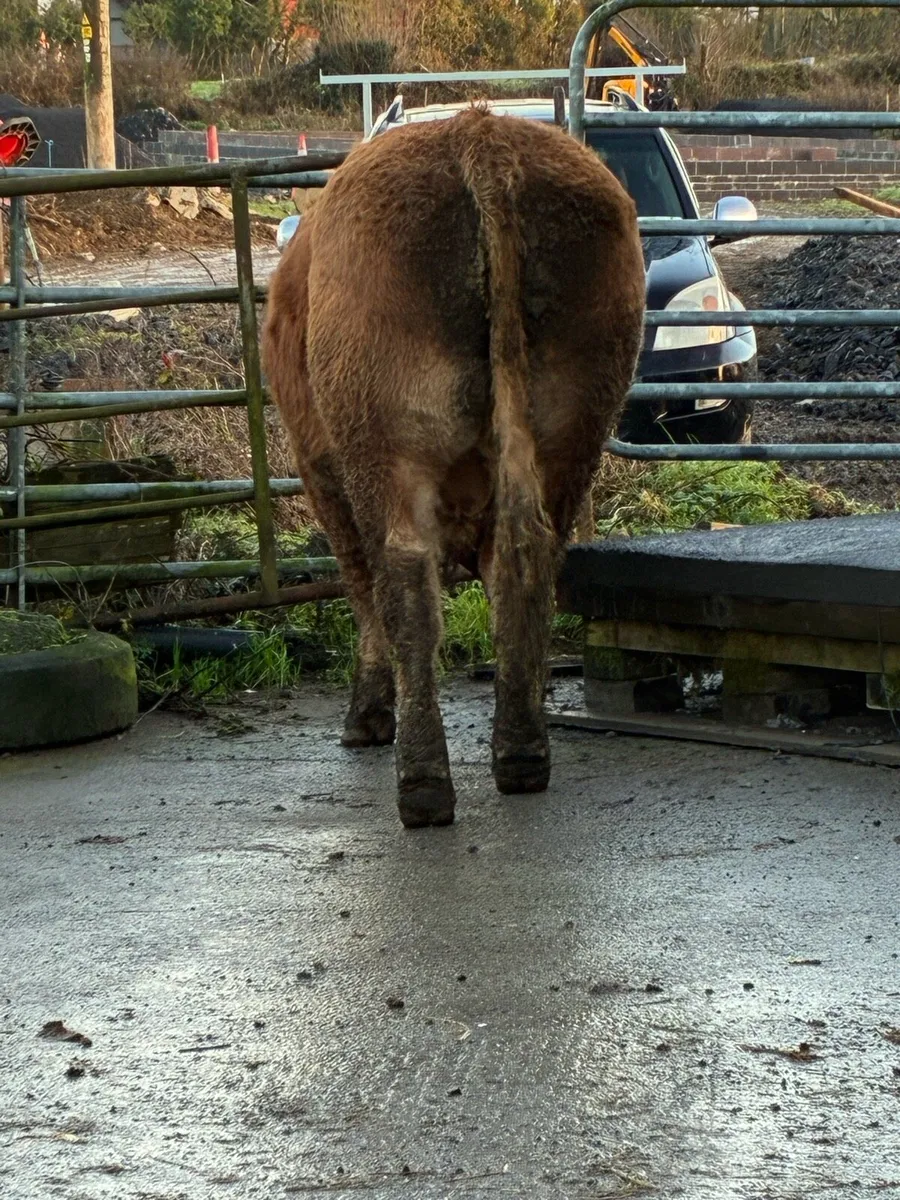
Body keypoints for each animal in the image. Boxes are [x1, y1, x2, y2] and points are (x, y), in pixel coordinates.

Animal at [263, 108, 645, 828]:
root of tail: (479, 133)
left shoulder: (322, 470)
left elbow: (362, 590)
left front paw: (368, 713)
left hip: (385, 448)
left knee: (405, 582)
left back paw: (422, 785)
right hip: (570, 437)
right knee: (527, 565)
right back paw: (521, 752)